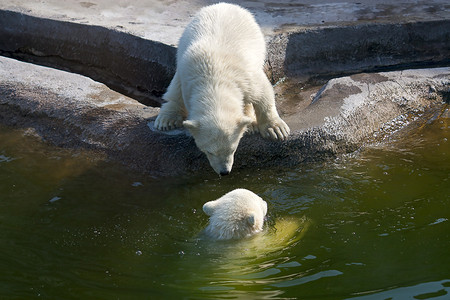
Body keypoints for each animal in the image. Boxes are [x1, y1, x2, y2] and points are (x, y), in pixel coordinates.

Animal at [154, 2, 288, 176]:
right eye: (208, 151)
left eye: (233, 149)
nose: (224, 172)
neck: (214, 79)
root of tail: (224, 4)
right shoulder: (188, 80)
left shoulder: (246, 76)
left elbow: (263, 93)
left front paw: (276, 130)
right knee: (174, 89)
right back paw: (166, 120)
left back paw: (250, 122)